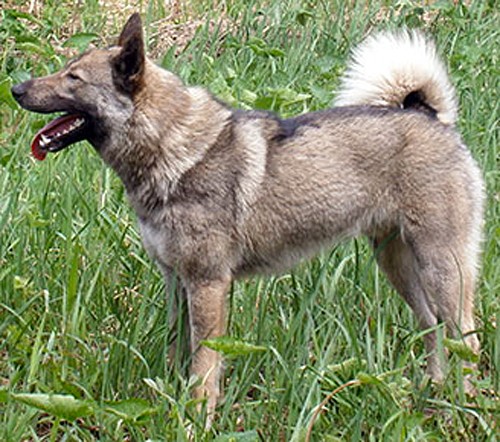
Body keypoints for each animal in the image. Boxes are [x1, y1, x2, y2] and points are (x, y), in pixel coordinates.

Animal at [11, 13, 484, 424]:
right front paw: (170, 404)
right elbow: (178, 351)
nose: (15, 88)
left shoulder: (208, 283)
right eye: (65, 69)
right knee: (431, 329)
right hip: (397, 265)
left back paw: (465, 407)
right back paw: (433, 394)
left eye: (73, 78)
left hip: (443, 268)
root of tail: (428, 116)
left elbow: (204, 364)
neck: (172, 148)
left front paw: (197, 419)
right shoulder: (177, 282)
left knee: (467, 339)